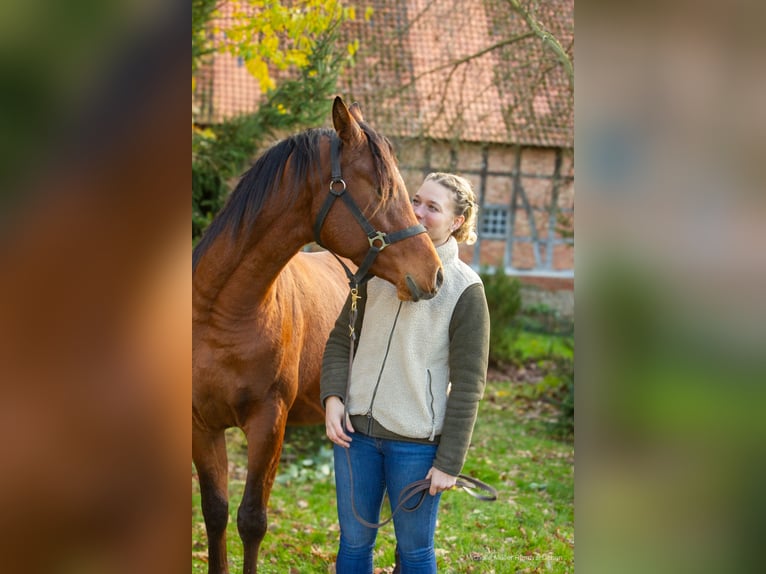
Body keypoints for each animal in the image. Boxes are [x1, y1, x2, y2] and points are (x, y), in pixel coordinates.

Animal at [192, 99, 444, 574]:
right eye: (382, 191)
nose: (433, 274)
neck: (220, 315)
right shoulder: (202, 426)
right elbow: (215, 513)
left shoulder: (269, 422)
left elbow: (251, 520)